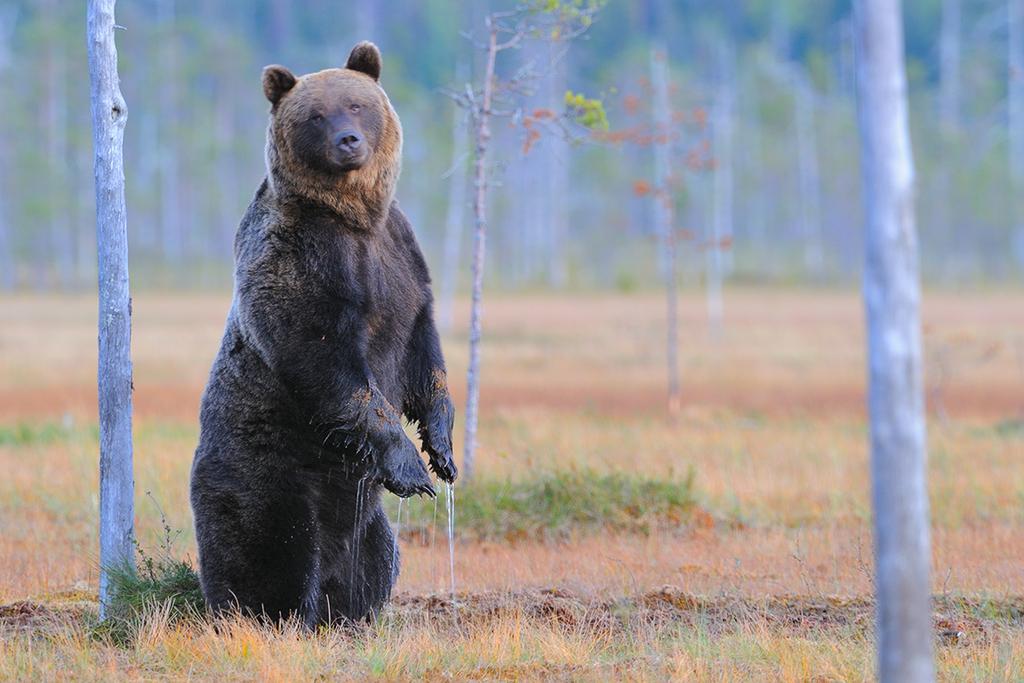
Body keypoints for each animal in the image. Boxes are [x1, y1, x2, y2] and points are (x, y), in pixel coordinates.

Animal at [187, 42, 456, 626]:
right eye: (315, 115)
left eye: (356, 104)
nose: (348, 140)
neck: (353, 217)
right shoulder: (302, 258)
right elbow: (327, 361)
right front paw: (411, 468)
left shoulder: (400, 256)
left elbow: (424, 352)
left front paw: (442, 450)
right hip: (269, 472)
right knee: (271, 553)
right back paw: (265, 614)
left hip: (363, 520)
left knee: (376, 560)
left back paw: (351, 613)